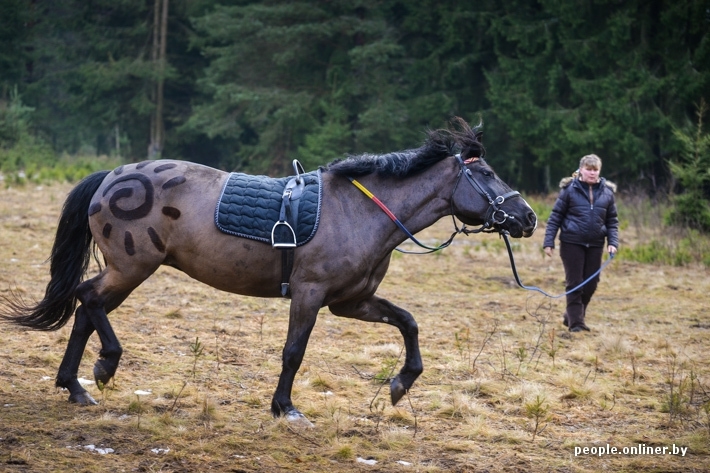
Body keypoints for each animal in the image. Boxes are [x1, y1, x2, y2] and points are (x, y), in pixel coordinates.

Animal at [0, 117, 536, 420]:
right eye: (489, 175)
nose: (527, 217)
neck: (358, 212)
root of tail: (112, 177)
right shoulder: (310, 294)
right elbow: (294, 353)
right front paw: (285, 408)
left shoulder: (351, 302)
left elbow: (408, 322)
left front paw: (401, 385)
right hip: (132, 268)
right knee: (88, 300)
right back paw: (104, 367)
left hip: (129, 271)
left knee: (85, 310)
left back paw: (75, 388)